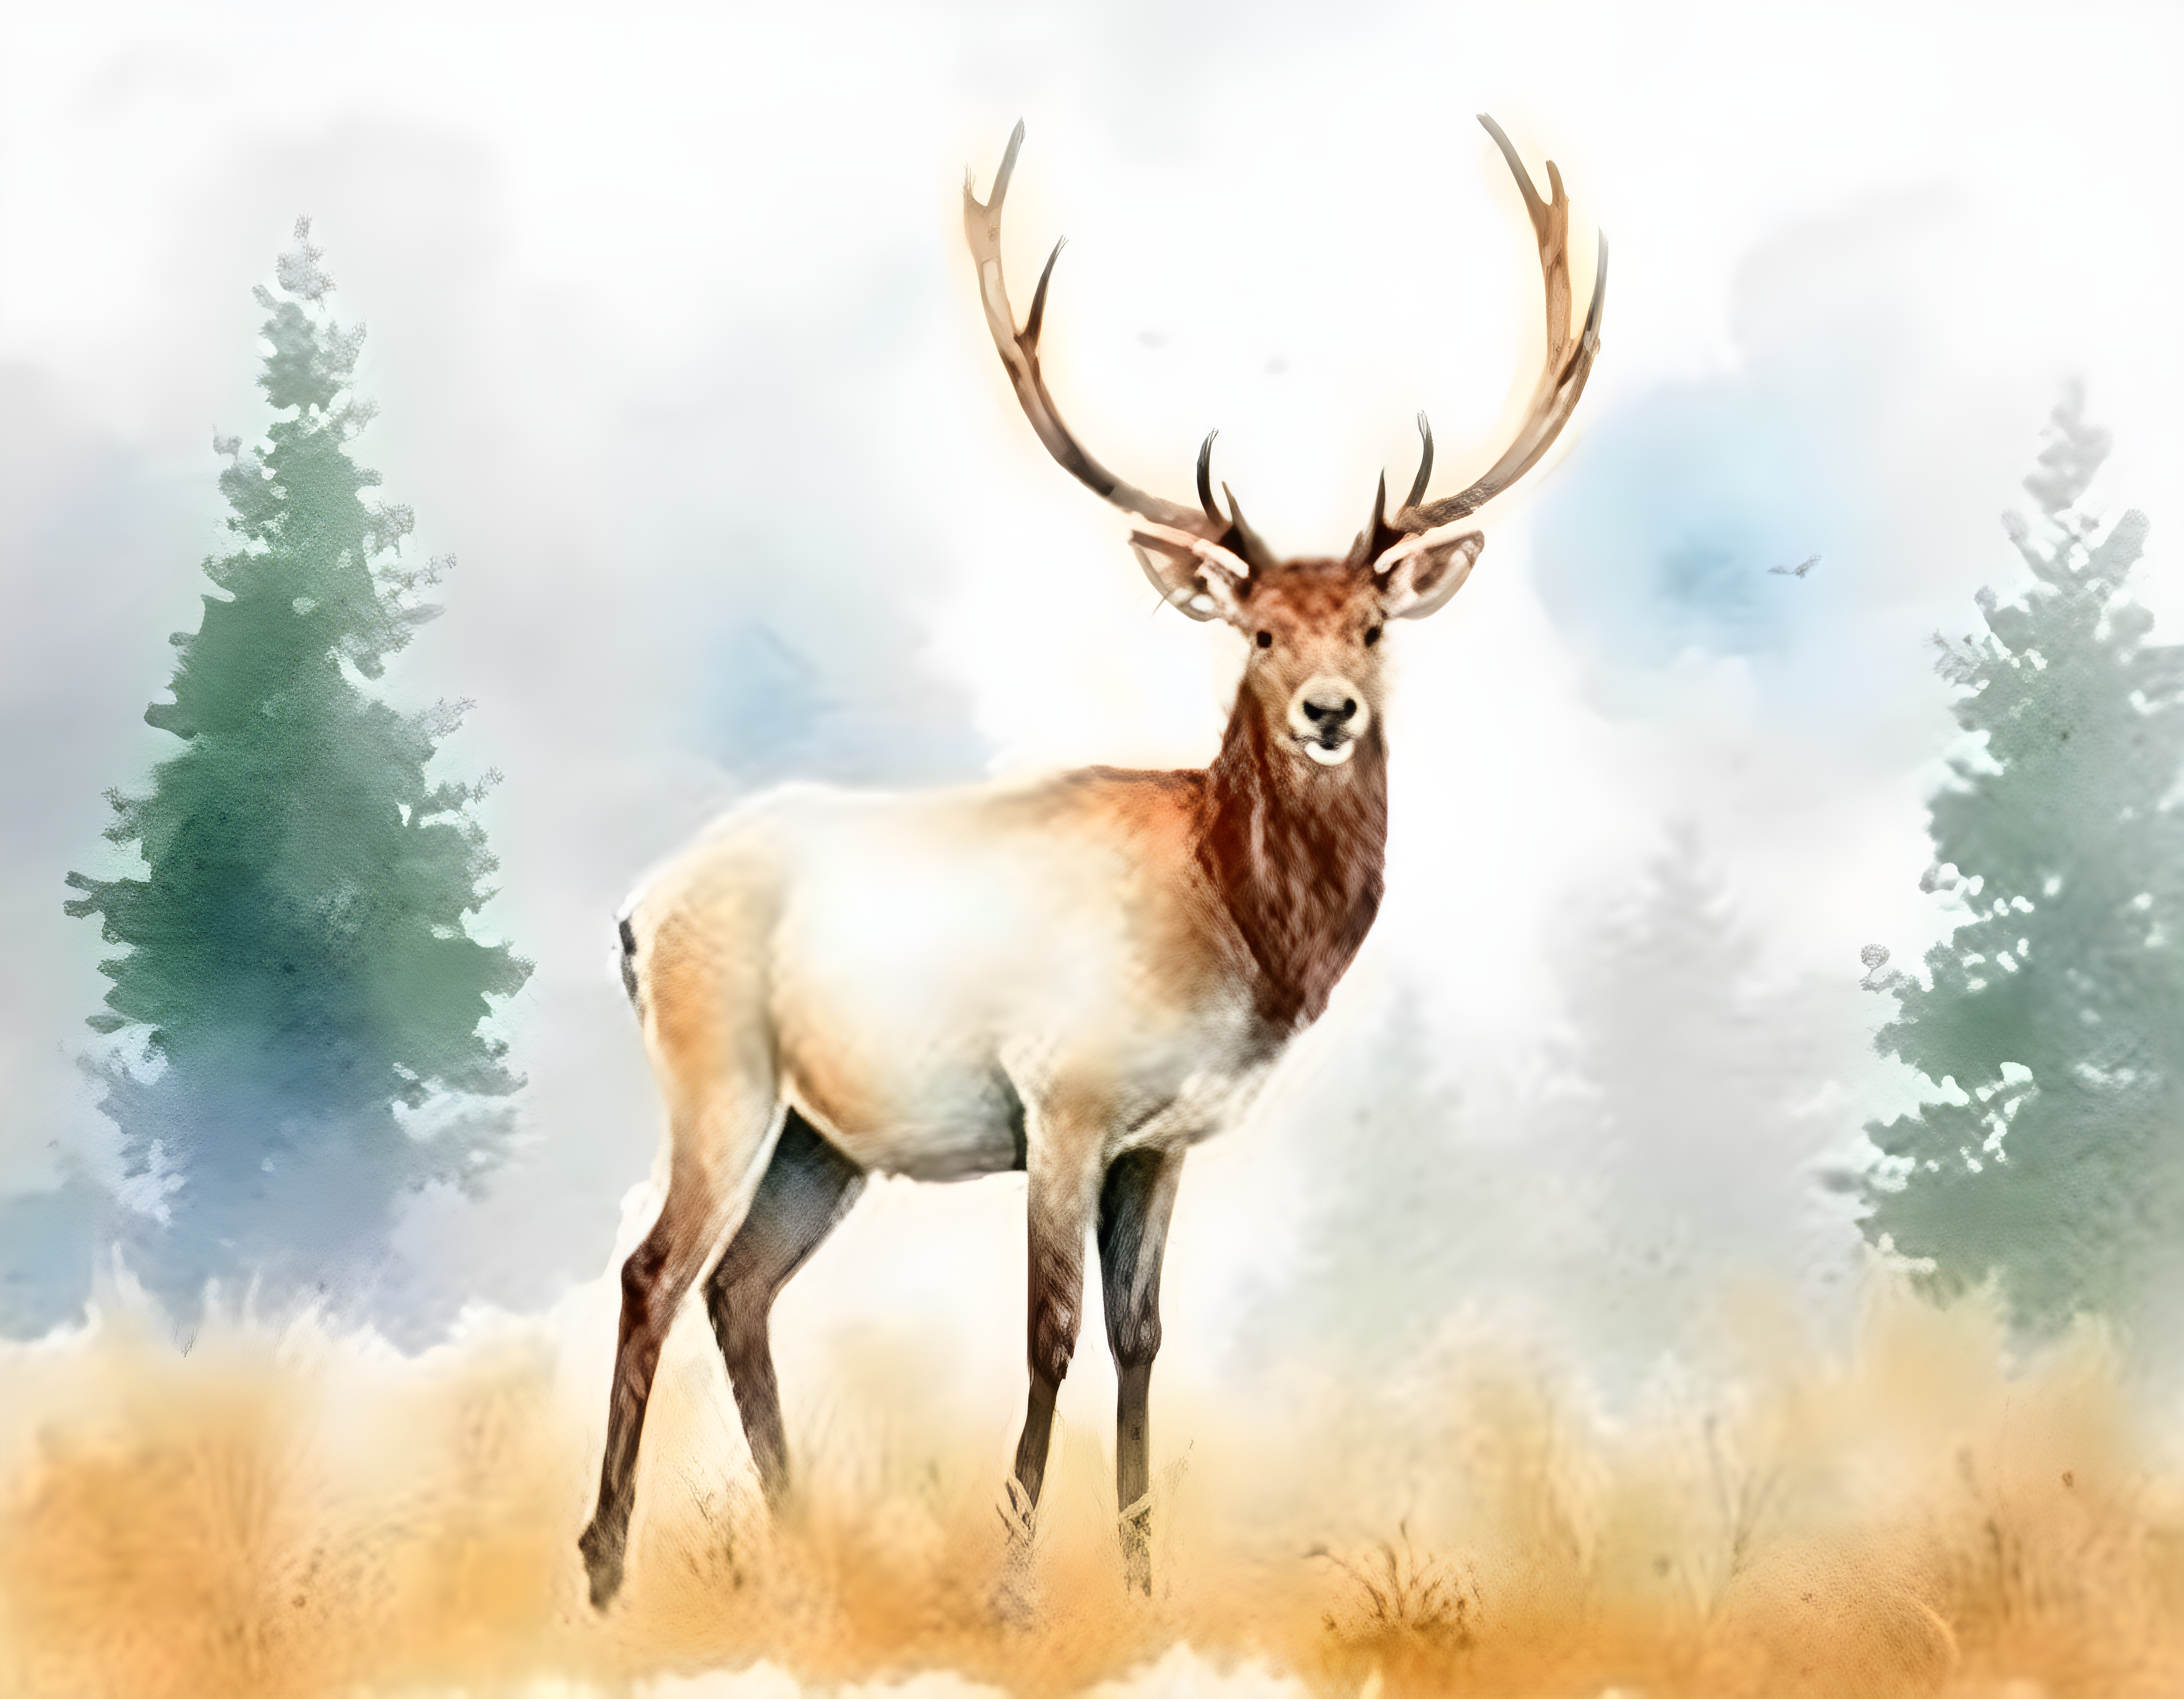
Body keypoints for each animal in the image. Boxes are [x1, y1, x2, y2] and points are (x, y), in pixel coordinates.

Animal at [578, 114, 1605, 1609]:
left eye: (1368, 625)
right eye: (1257, 631)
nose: (1329, 713)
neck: (1236, 937)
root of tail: (638, 910)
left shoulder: (1163, 1137)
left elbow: (1142, 1333)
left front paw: (1138, 1577)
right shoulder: (1061, 1101)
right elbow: (1051, 1330)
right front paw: (1011, 1589)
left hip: (823, 1139)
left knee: (742, 1285)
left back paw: (800, 1542)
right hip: (719, 1073)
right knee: (654, 1266)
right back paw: (605, 1563)